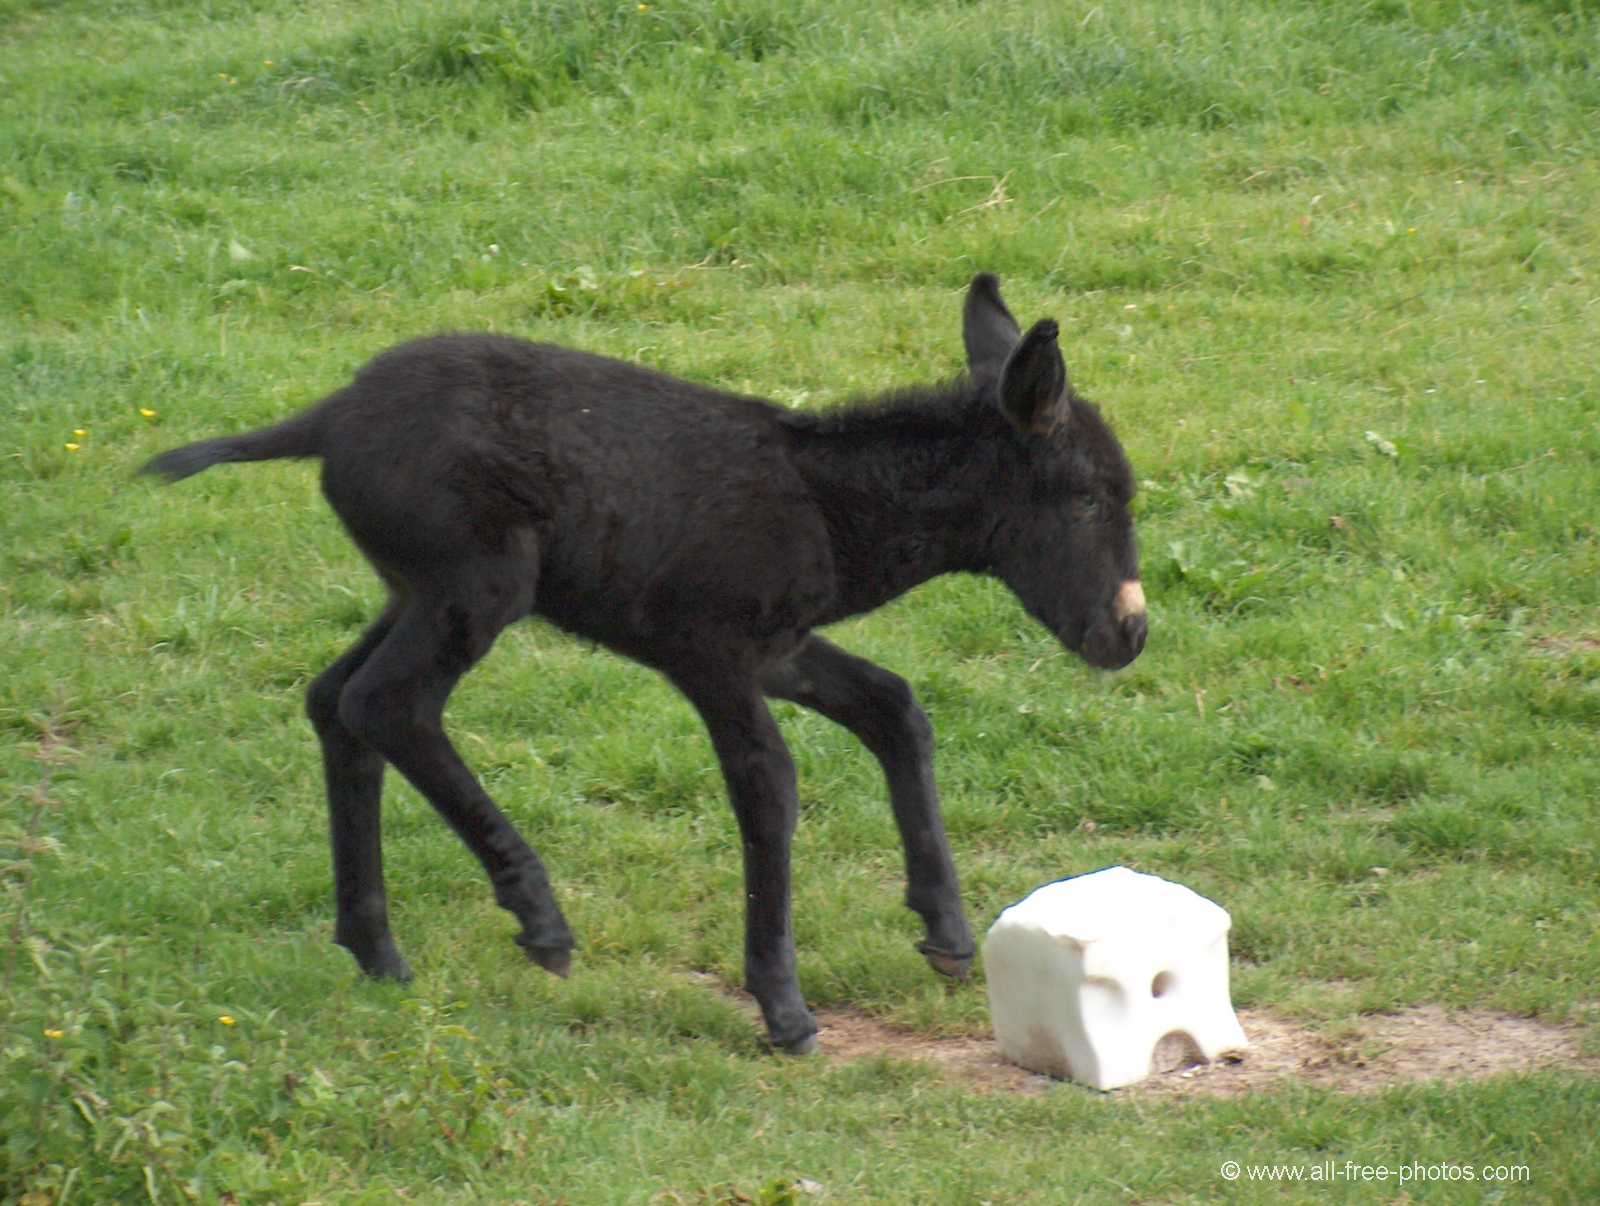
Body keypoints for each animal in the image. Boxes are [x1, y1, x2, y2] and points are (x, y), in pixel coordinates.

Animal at [144, 276, 1145, 1049]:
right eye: (1089, 502)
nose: (1129, 635)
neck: (828, 507)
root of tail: (331, 416)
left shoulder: (778, 653)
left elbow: (895, 708)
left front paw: (945, 932)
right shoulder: (711, 654)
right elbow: (770, 788)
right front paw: (784, 1009)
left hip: (416, 589)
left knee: (334, 702)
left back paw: (376, 949)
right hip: (477, 585)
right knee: (388, 705)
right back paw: (537, 918)